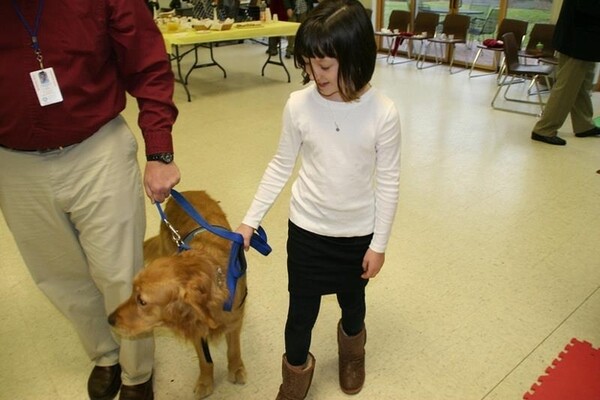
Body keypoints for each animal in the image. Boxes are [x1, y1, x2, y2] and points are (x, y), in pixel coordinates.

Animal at [108, 190, 246, 396]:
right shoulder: (196, 329)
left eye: (142, 301)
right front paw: (205, 381)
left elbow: (234, 350)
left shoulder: (235, 320)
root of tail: (185, 192)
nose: (110, 319)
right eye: (132, 291)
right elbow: (205, 361)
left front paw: (236, 368)